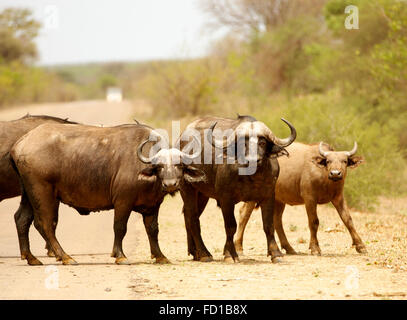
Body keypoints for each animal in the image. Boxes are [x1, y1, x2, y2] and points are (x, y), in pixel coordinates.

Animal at [10, 121, 206, 264]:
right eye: (159, 166)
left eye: (179, 165)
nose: (170, 184)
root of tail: (20, 143)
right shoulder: (123, 202)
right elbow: (120, 227)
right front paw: (119, 255)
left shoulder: (152, 205)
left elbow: (152, 230)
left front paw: (160, 256)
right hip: (44, 193)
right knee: (45, 224)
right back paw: (65, 257)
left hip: (28, 194)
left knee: (22, 219)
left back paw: (32, 258)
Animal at [179, 115, 296, 262]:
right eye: (243, 143)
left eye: (262, 143)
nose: (253, 160)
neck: (251, 177)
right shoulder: (226, 200)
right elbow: (230, 226)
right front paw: (230, 254)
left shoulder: (269, 196)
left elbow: (268, 225)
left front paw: (276, 253)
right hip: (187, 188)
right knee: (193, 218)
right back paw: (204, 254)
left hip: (202, 194)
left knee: (189, 216)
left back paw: (195, 252)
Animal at [234, 141, 368, 256]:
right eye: (328, 161)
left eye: (344, 161)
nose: (335, 173)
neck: (325, 178)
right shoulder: (309, 198)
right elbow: (314, 222)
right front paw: (315, 248)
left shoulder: (338, 198)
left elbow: (348, 219)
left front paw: (361, 246)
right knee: (244, 215)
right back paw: (239, 248)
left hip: (279, 199)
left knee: (277, 220)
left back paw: (289, 248)